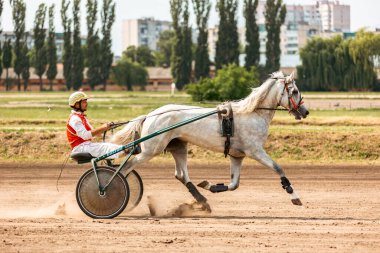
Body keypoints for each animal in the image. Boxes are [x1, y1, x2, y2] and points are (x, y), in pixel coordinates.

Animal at [110, 71, 308, 210]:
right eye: (295, 91)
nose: (305, 111)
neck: (253, 114)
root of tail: (150, 115)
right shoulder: (255, 151)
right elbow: (278, 168)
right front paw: (295, 196)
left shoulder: (237, 156)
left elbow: (234, 184)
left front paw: (210, 185)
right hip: (151, 150)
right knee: (126, 168)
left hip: (179, 147)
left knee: (181, 175)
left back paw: (202, 200)